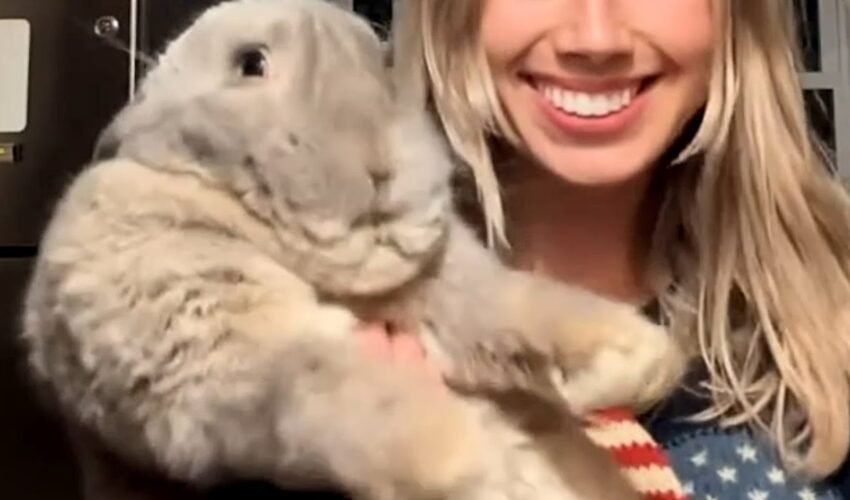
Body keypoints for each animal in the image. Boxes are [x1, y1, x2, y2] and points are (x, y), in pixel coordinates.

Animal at [19, 1, 685, 499]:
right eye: (251, 63)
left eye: (386, 67)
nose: (383, 168)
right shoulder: (225, 352)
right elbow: (345, 388)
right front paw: (468, 453)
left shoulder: (452, 297)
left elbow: (517, 308)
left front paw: (642, 358)